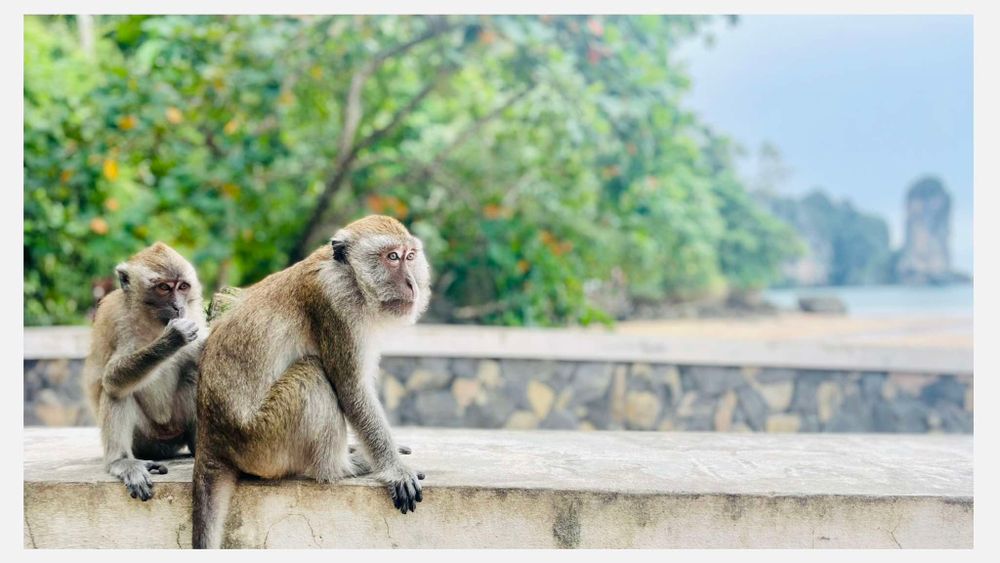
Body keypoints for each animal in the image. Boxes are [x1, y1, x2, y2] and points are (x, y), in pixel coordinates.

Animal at [82, 242, 206, 501]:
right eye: (163, 287)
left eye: (182, 286)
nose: (178, 306)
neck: (153, 323)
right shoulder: (118, 321)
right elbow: (112, 378)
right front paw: (173, 338)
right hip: (146, 439)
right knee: (116, 390)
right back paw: (121, 461)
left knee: (193, 372)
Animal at [192, 215, 431, 549]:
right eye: (392, 257)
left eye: (410, 256)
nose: (412, 283)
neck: (350, 279)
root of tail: (211, 436)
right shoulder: (334, 307)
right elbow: (352, 390)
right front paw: (393, 469)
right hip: (262, 441)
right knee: (312, 373)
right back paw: (341, 467)